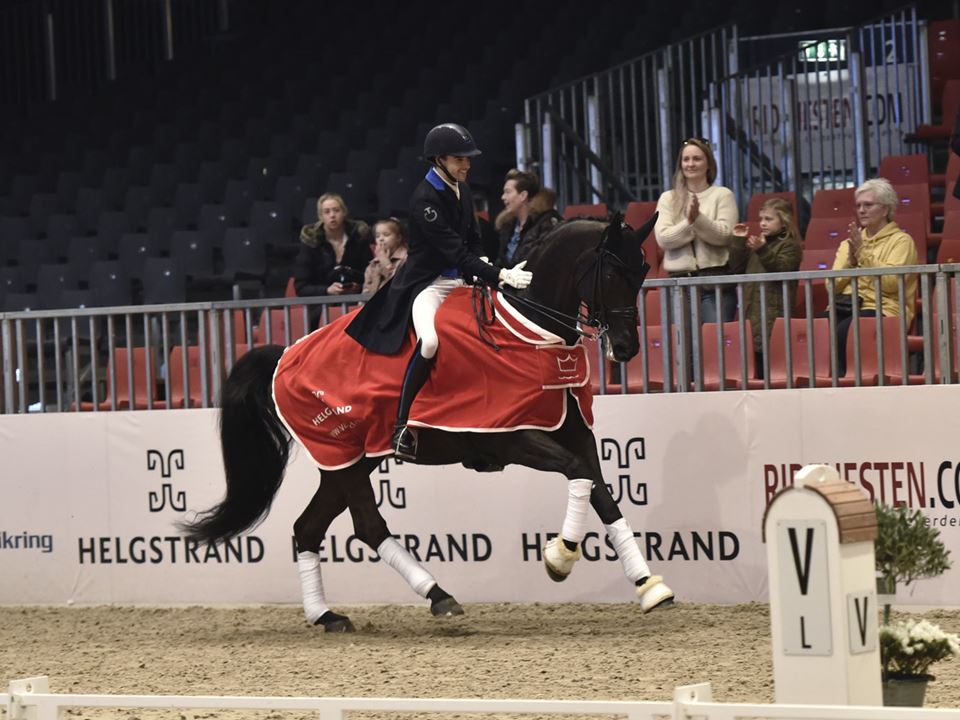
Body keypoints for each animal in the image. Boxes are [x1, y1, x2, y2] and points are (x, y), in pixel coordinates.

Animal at [182, 214, 676, 632]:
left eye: (643, 269)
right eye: (612, 274)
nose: (627, 348)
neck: (532, 332)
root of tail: (285, 354)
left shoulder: (575, 430)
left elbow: (602, 492)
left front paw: (649, 587)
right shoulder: (513, 437)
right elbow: (578, 475)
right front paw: (560, 557)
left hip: (349, 462)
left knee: (309, 528)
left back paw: (327, 616)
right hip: (343, 458)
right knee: (368, 526)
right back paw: (439, 596)